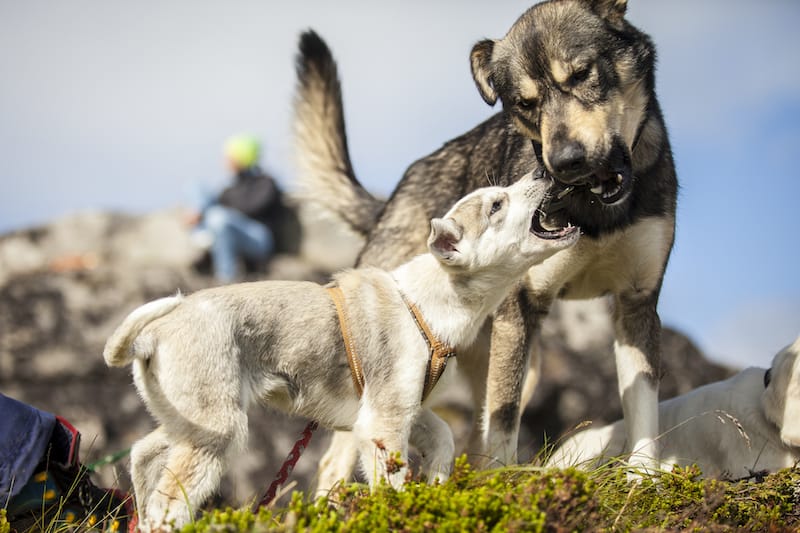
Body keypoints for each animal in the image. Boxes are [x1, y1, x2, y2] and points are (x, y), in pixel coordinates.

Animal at [104, 174, 580, 528]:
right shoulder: (384, 420)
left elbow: (443, 436)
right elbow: (393, 485)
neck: (426, 300)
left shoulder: (407, 407)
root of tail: (155, 331)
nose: (543, 172)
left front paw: (437, 484)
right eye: (496, 205)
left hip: (190, 420)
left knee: (143, 454)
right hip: (216, 429)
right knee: (169, 500)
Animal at [294, 0, 676, 490]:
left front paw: (644, 477)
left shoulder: (637, 303)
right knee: (336, 459)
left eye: (582, 74)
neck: (592, 210)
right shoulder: (522, 311)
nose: (565, 164)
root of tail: (394, 198)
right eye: (526, 104)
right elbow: (504, 420)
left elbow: (643, 408)